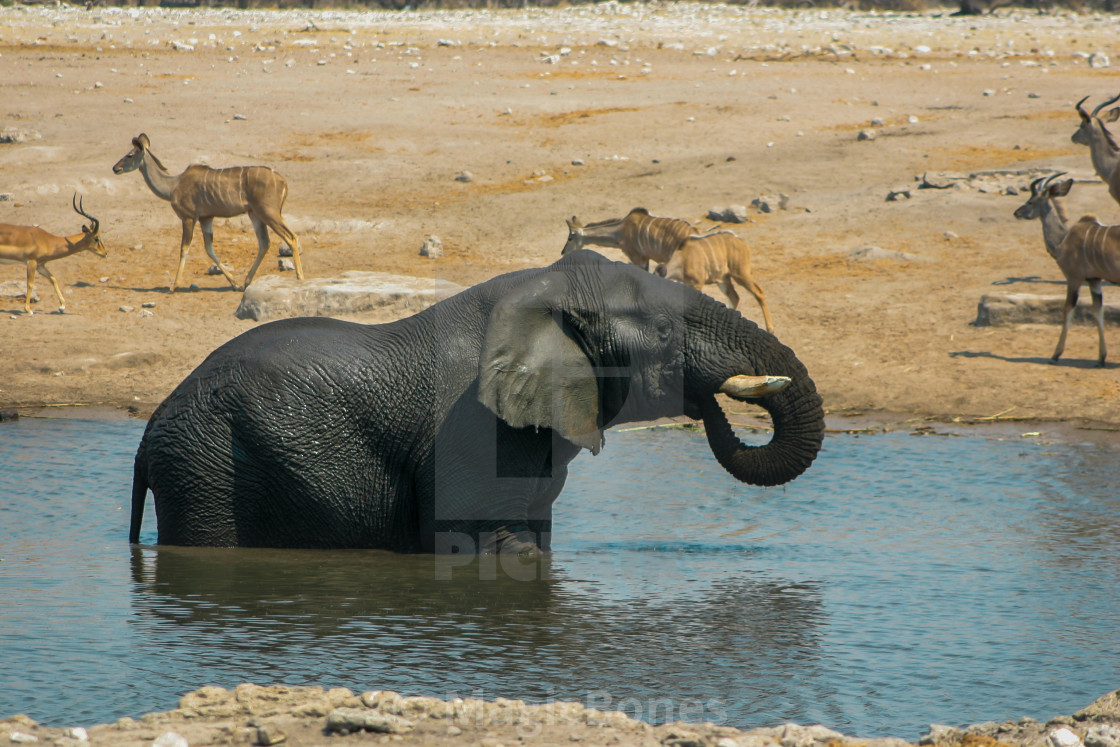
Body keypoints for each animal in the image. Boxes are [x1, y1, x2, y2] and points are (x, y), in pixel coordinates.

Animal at [112, 134, 302, 291]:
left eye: (130, 155)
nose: (115, 168)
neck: (173, 186)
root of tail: (283, 181)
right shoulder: (206, 218)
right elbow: (209, 248)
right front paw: (234, 283)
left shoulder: (189, 217)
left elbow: (184, 248)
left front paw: (174, 285)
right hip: (254, 214)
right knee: (264, 243)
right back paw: (245, 282)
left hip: (268, 213)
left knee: (291, 236)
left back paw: (300, 277)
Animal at [128, 250, 824, 555]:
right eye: (660, 332)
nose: (707, 398)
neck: (545, 291)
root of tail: (152, 422)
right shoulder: (473, 432)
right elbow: (490, 544)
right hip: (206, 466)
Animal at [564, 204, 775, 333]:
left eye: (571, 237)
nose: (562, 252)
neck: (621, 230)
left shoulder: (639, 258)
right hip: (722, 277)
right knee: (734, 296)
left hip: (735, 273)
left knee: (756, 292)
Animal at [1016, 170, 1120, 367]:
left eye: (1031, 201)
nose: (1016, 212)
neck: (1062, 240)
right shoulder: (1094, 281)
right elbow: (1098, 312)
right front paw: (1101, 358)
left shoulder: (1074, 279)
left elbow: (1067, 311)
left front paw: (1055, 354)